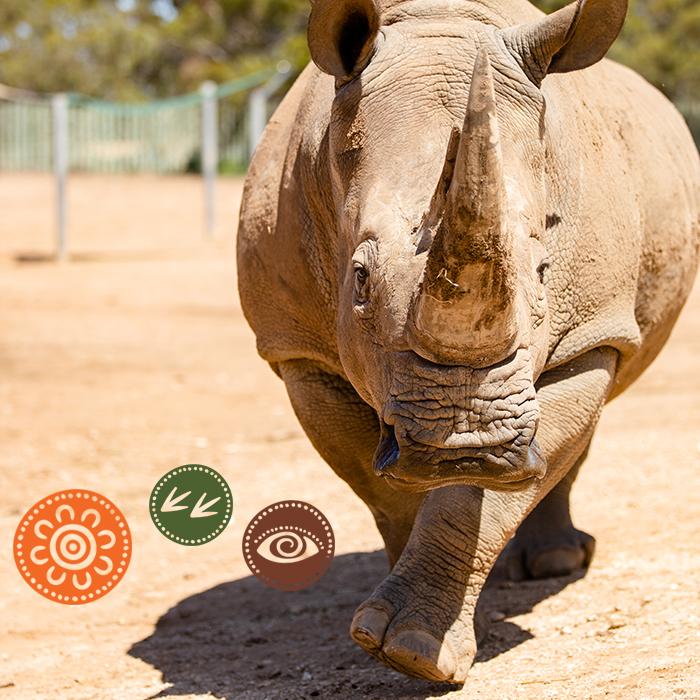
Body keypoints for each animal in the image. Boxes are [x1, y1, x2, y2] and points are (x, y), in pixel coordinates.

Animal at [237, 0, 700, 684]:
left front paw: (414, 646)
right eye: (360, 279)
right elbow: (384, 488)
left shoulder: (590, 334)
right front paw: (398, 636)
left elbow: (485, 494)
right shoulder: (298, 350)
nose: (470, 446)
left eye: (543, 272)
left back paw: (556, 563)